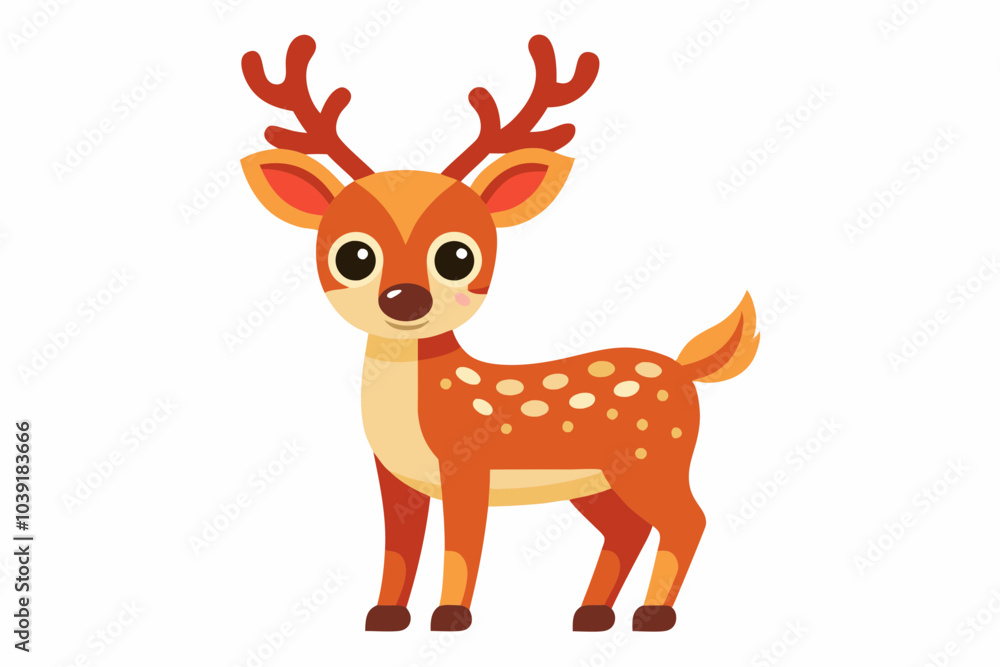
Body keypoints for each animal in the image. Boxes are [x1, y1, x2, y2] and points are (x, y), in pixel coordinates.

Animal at [239, 34, 759, 633]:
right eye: (353, 255)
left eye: (457, 255)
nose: (405, 298)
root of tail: (683, 368)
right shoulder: (394, 478)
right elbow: (399, 548)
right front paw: (385, 614)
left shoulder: (468, 465)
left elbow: (462, 545)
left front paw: (450, 616)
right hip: (598, 481)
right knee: (628, 530)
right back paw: (591, 613)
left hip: (657, 457)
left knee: (688, 519)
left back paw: (653, 615)